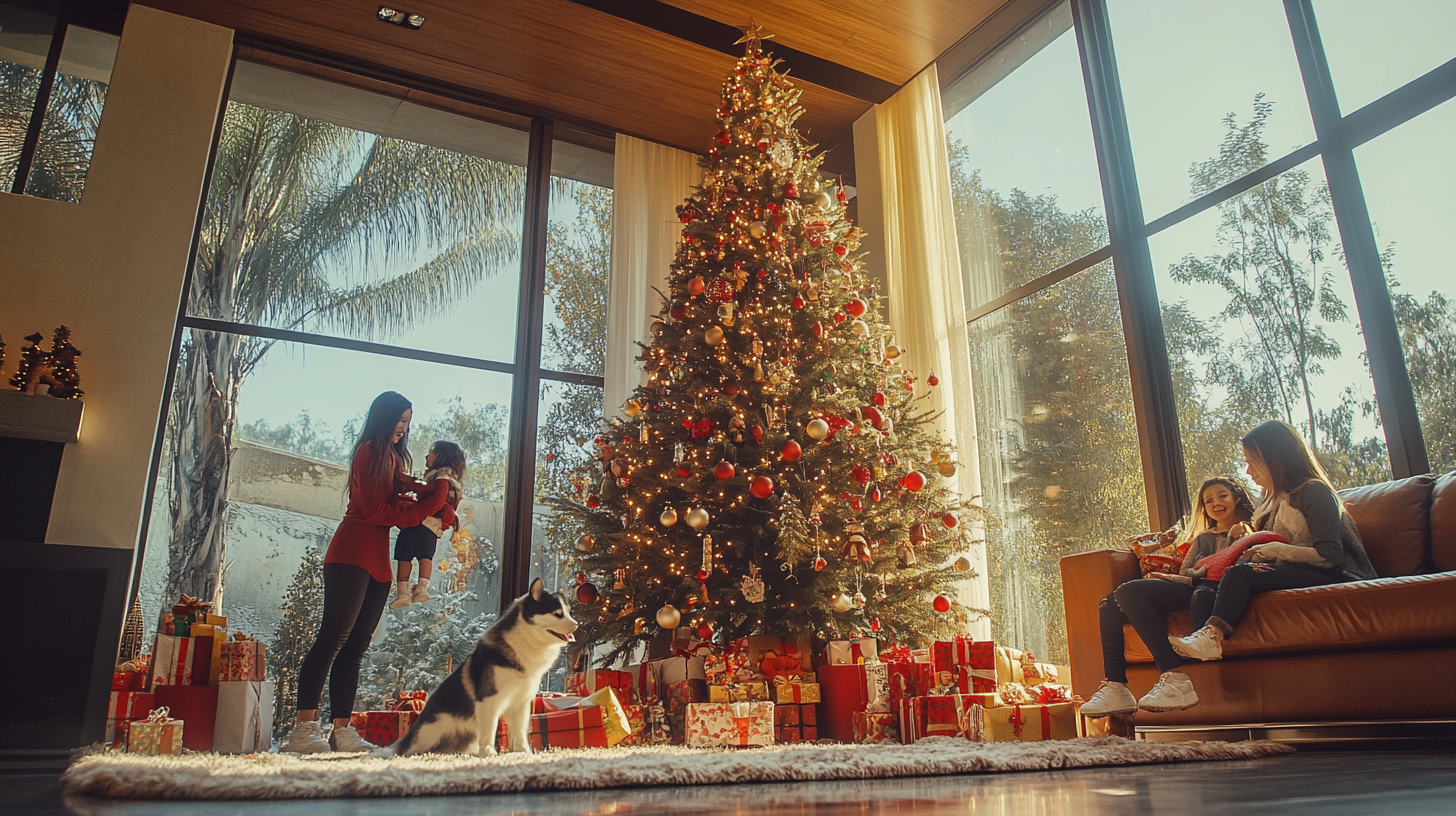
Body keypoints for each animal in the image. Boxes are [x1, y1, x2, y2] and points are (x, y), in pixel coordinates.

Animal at [390, 577, 576, 757]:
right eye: (557, 614)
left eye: (568, 612)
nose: (576, 625)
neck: (525, 641)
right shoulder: (489, 699)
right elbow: (490, 729)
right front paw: (488, 751)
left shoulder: (520, 701)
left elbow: (520, 732)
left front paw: (524, 752)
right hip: (431, 731)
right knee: (406, 750)